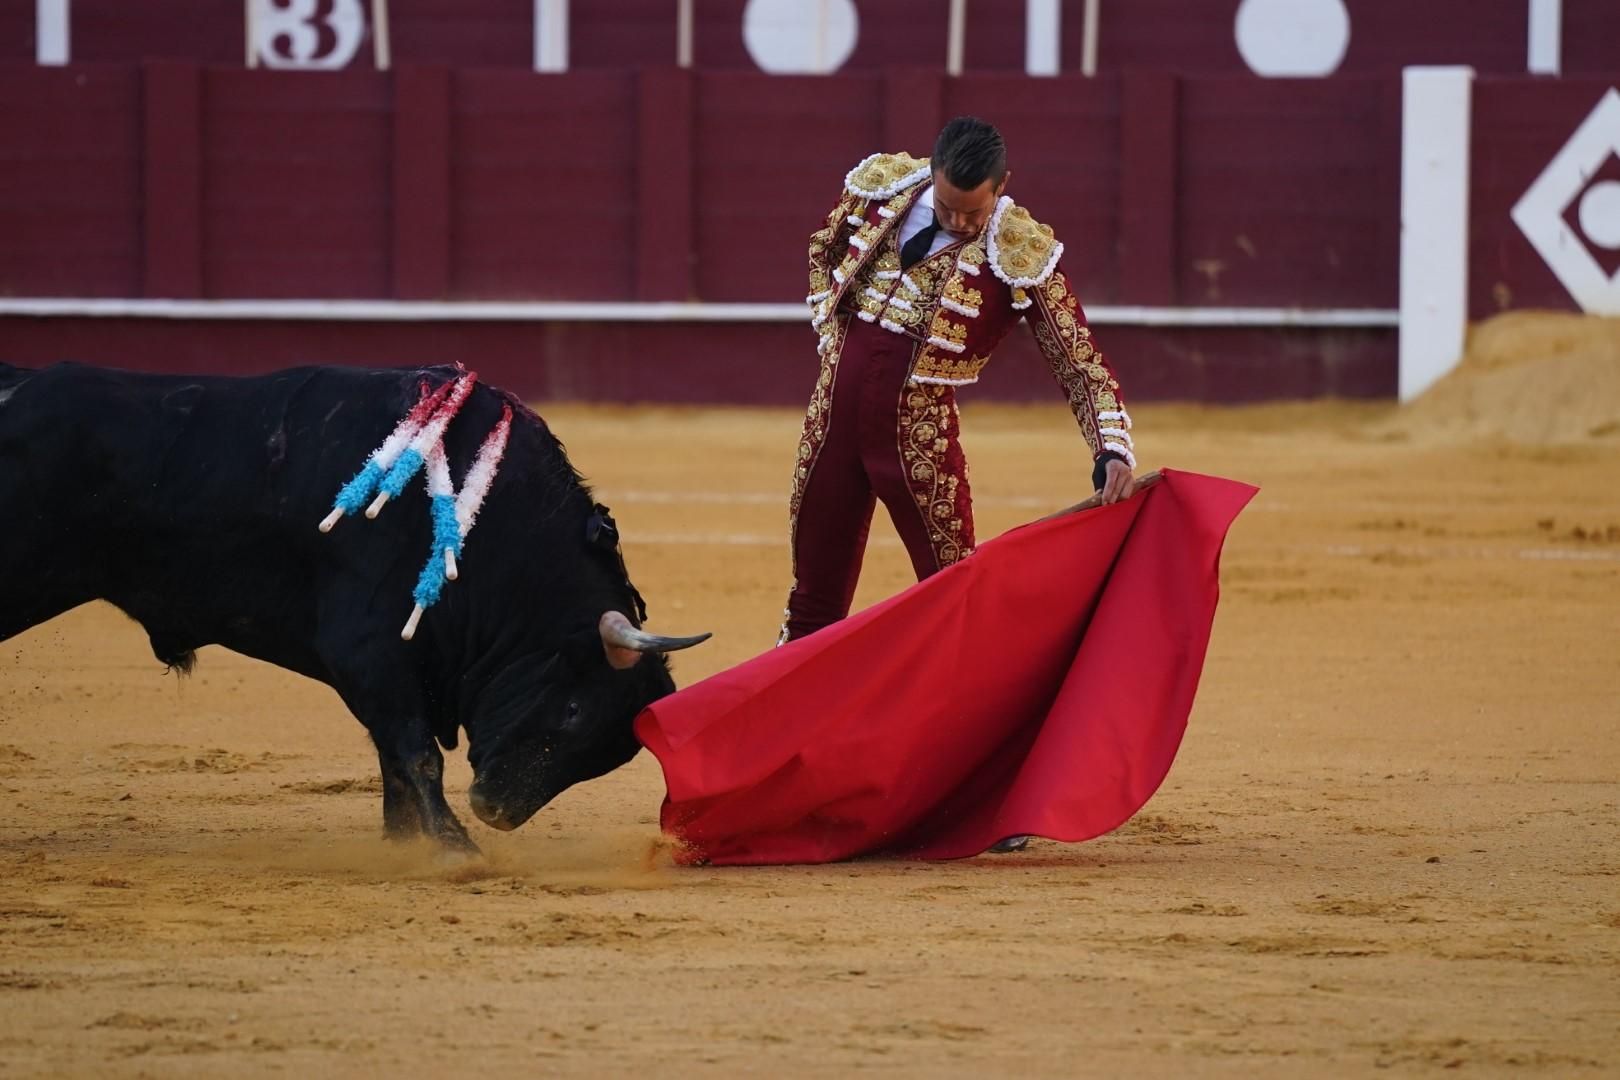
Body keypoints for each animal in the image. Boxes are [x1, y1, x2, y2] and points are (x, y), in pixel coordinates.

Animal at [0, 362, 709, 854]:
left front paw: (407, 845)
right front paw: (455, 849)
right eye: (572, 709)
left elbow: (394, 759)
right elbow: (414, 752)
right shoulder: (368, 651)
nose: (495, 811)